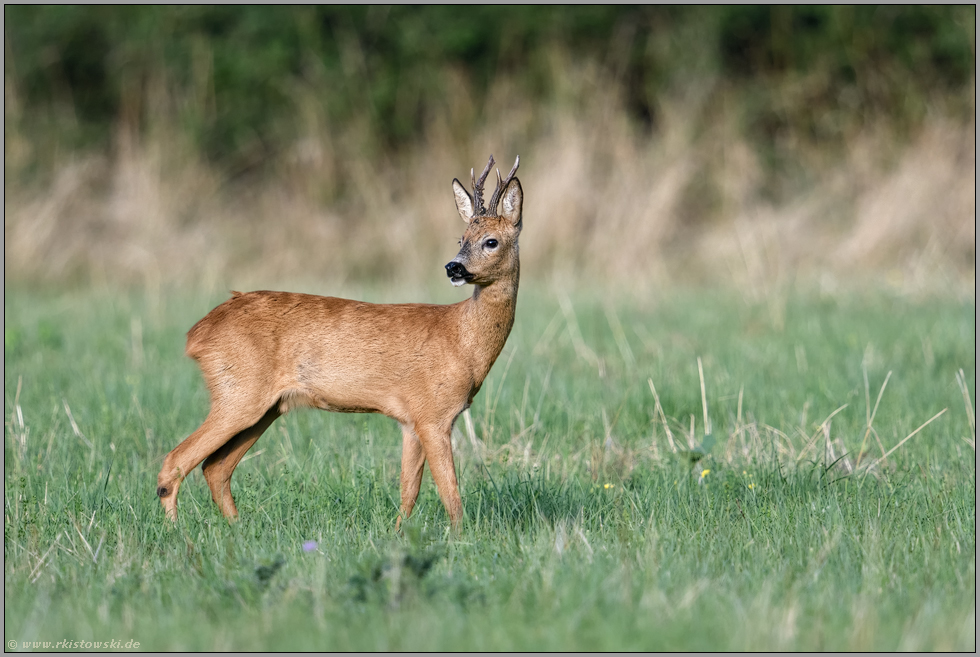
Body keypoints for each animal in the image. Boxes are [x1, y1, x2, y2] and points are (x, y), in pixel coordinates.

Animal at [155, 154, 520, 528]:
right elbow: (451, 493)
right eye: (461, 238)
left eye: (490, 241)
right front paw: (460, 536)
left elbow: (409, 491)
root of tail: (197, 333)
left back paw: (236, 527)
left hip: (267, 406)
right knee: (175, 462)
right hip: (239, 393)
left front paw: (399, 533)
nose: (453, 268)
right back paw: (176, 531)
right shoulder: (433, 413)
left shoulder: (410, 420)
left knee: (215, 467)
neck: (462, 340)